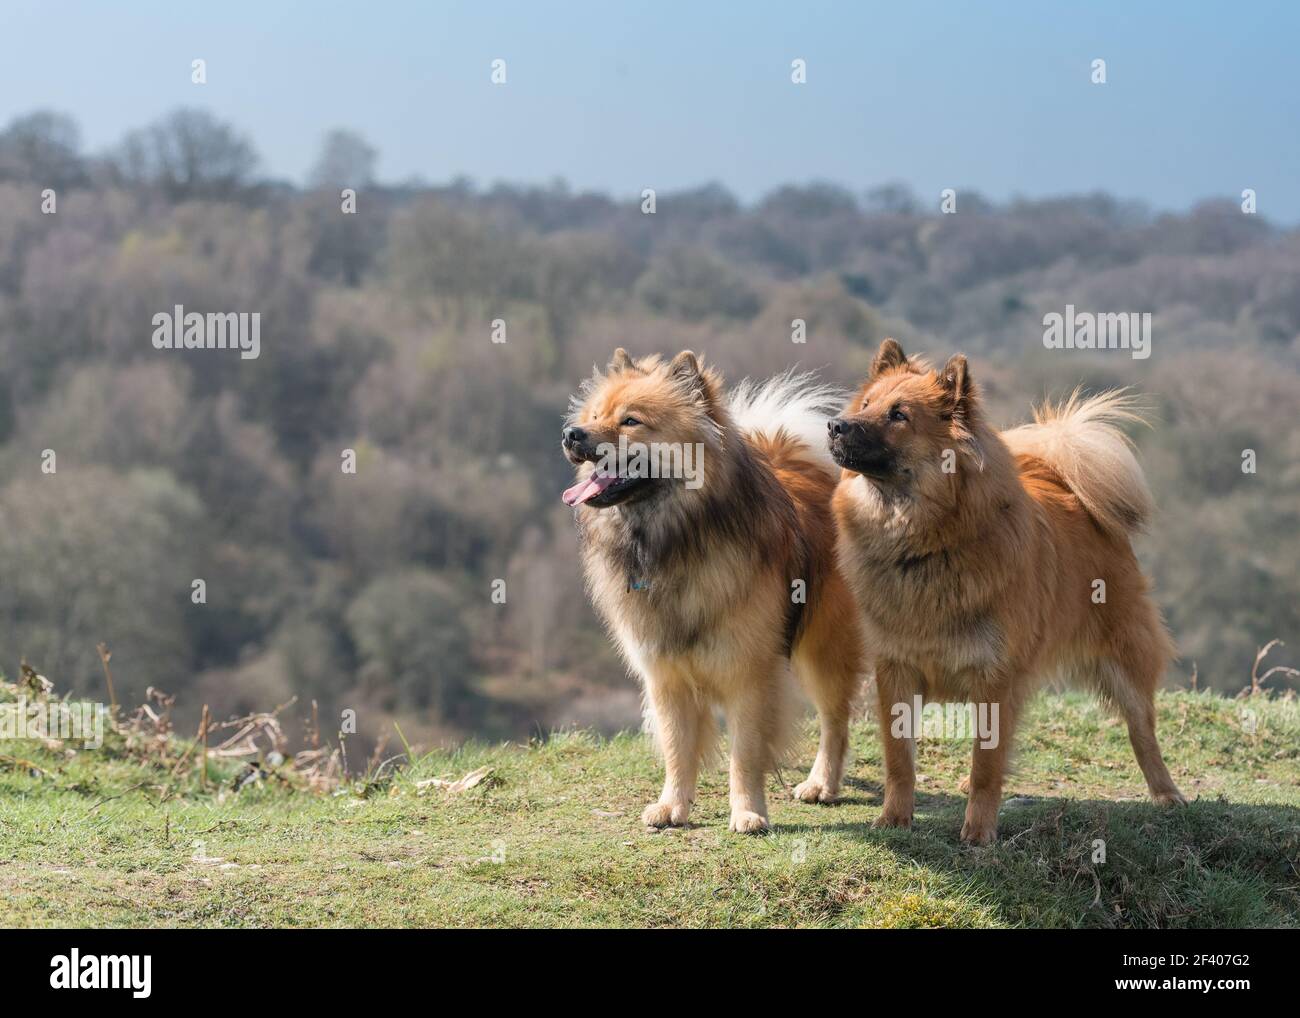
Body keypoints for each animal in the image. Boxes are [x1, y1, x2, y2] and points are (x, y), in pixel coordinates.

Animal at [561, 353, 857, 832]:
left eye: (630, 421)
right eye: (593, 416)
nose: (571, 432)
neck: (675, 542)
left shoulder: (749, 674)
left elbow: (745, 754)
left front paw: (749, 811)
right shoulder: (666, 677)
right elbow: (677, 750)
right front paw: (672, 807)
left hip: (823, 649)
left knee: (835, 720)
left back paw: (821, 784)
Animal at [832, 340, 1190, 842]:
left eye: (898, 415)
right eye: (865, 405)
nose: (835, 425)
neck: (926, 544)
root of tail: (1069, 486)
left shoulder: (994, 674)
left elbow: (987, 764)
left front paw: (979, 831)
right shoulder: (896, 669)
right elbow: (900, 760)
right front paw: (894, 818)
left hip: (1125, 660)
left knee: (1143, 731)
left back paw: (1166, 793)